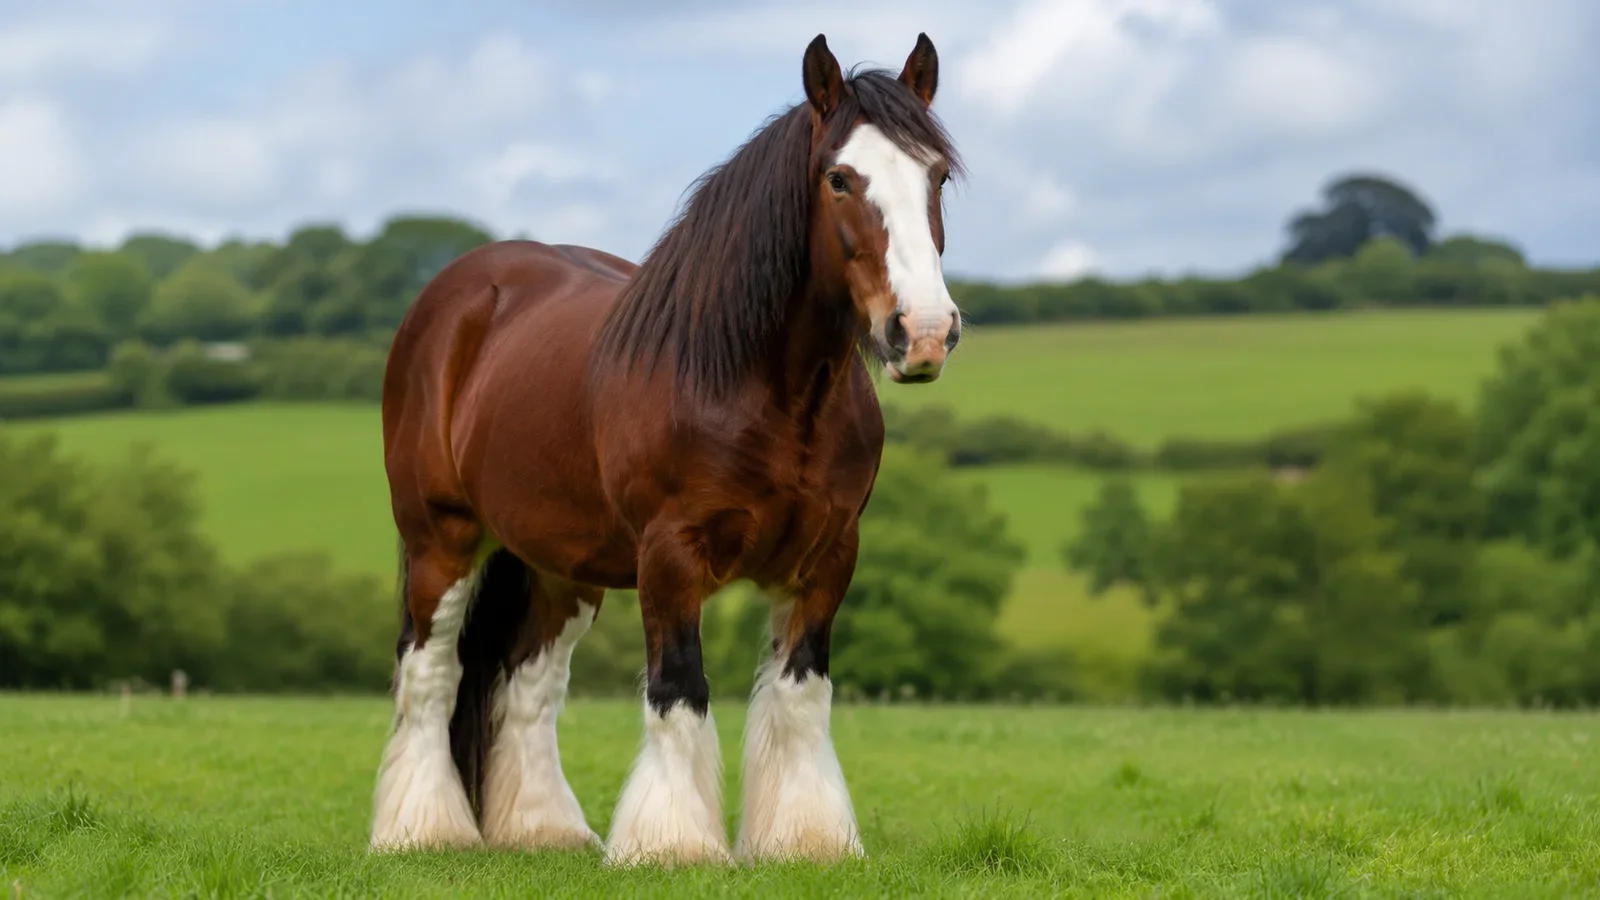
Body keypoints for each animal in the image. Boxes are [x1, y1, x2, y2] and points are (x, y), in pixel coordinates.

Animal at [371, 32, 964, 866]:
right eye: (840, 179)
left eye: (936, 175)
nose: (925, 333)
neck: (756, 386)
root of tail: (458, 294)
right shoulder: (671, 557)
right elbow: (680, 690)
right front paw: (675, 844)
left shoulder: (827, 560)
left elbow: (800, 694)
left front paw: (804, 839)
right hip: (442, 539)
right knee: (429, 672)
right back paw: (422, 831)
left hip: (560, 567)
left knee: (527, 684)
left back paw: (542, 829)